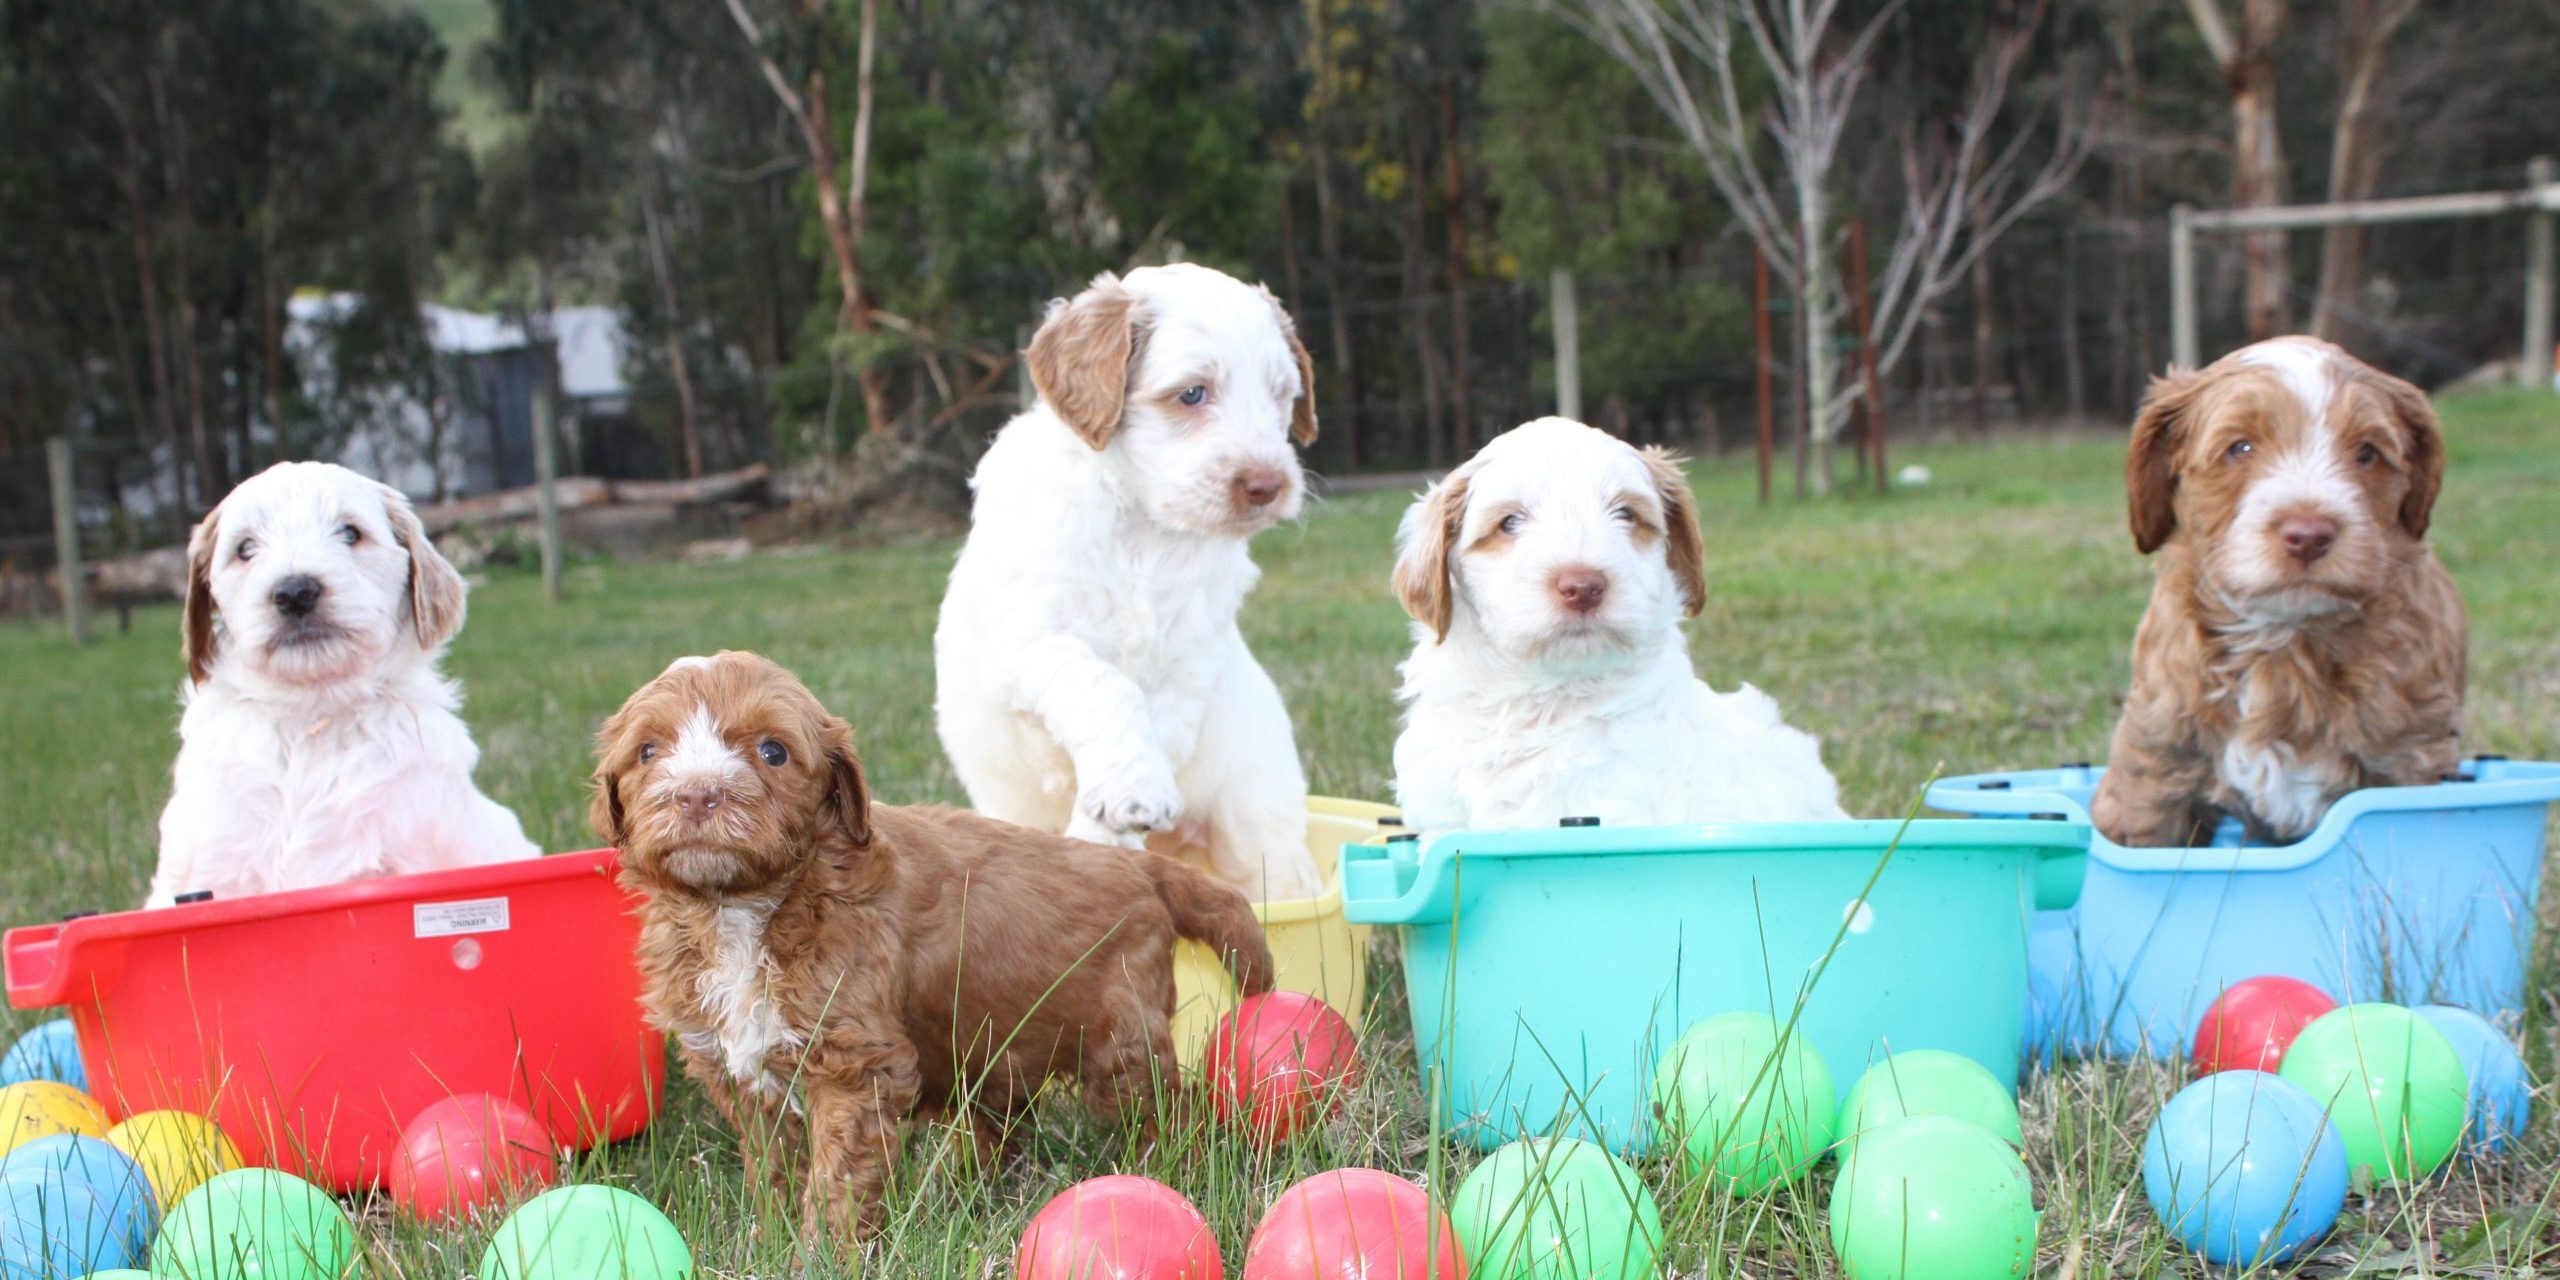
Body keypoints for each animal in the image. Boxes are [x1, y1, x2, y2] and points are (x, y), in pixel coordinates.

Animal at [596, 650, 1280, 1239]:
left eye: (773, 751)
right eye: (648, 751)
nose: (696, 795)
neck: (743, 907)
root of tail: (1143, 868)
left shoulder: (858, 1062)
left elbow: (838, 1177)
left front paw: (821, 1252)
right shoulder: (739, 1067)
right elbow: (775, 1165)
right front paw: (772, 1234)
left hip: (1121, 1038)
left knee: (1162, 1108)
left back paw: (1178, 1172)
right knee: (1002, 1116)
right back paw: (963, 1184)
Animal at [947, 261, 1341, 901]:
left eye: (1282, 396)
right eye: (1192, 393)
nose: (1268, 485)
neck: (1142, 527)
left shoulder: (1189, 661)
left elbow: (1152, 716)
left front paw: (1103, 832)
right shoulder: (1032, 641)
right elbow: (1105, 685)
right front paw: (1124, 801)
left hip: (1260, 823)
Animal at [2088, 335, 2467, 844]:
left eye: (2367, 452)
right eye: (2240, 447)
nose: (2308, 534)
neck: (2283, 643)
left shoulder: (2411, 760)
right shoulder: (2155, 766)